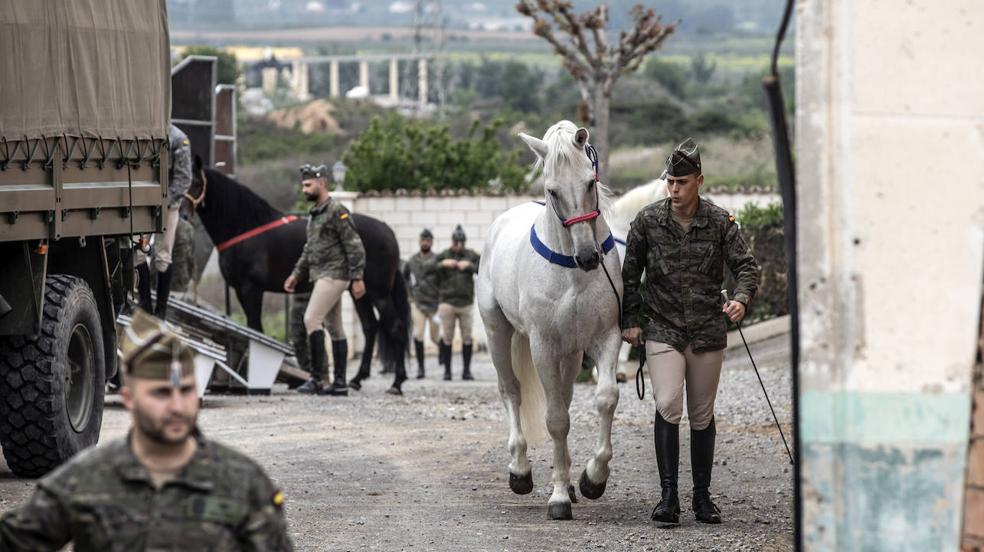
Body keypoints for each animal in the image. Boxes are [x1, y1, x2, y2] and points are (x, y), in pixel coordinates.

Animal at [476, 118, 624, 520]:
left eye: (589, 182)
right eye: (552, 191)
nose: (588, 257)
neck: (571, 272)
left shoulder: (605, 336)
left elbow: (605, 398)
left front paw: (592, 479)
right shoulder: (543, 345)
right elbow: (556, 419)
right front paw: (558, 498)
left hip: (570, 354)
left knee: (567, 395)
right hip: (498, 331)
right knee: (511, 390)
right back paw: (520, 471)